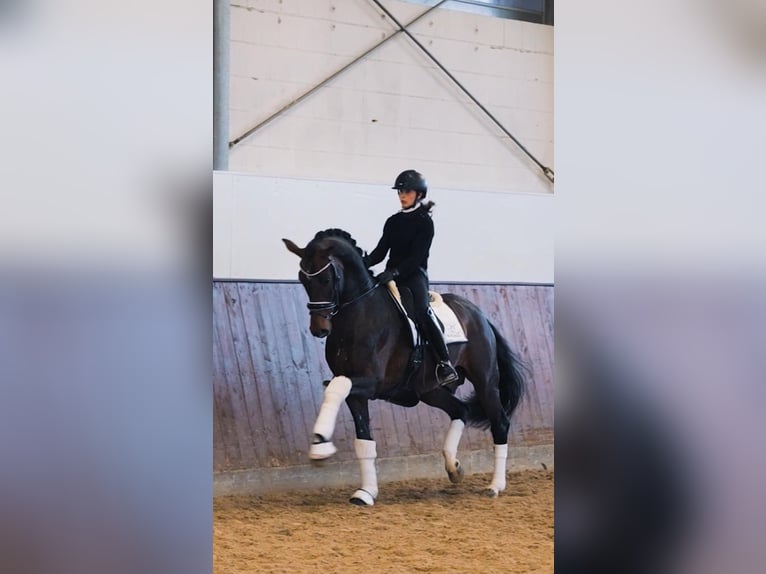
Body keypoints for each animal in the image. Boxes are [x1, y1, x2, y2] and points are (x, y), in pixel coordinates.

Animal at [283, 228, 527, 505]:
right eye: (302, 279)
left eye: (325, 278)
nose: (319, 329)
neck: (358, 315)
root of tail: (479, 315)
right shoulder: (356, 392)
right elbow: (363, 440)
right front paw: (366, 492)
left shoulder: (372, 382)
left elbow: (336, 387)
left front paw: (320, 445)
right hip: (430, 391)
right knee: (460, 410)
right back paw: (454, 467)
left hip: (485, 382)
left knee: (500, 423)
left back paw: (495, 486)